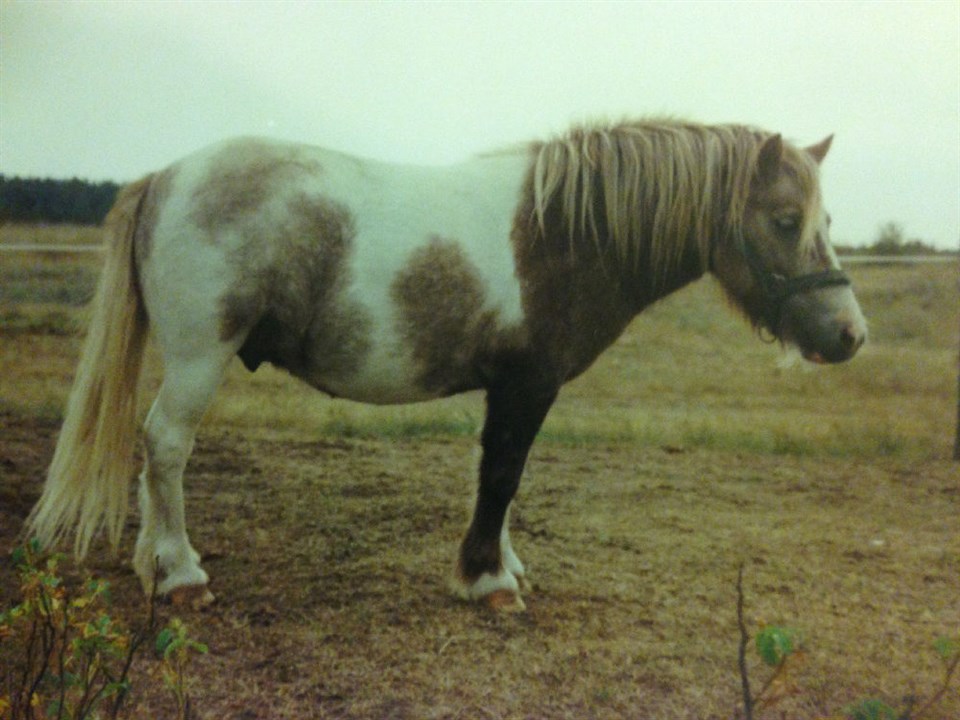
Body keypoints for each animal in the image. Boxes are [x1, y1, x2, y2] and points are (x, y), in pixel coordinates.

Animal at [26, 119, 866, 611]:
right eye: (784, 219)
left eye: (827, 218)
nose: (850, 335)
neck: (562, 231)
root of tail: (163, 178)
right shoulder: (526, 386)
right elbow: (502, 475)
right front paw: (488, 580)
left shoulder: (513, 389)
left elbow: (502, 479)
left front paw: (505, 565)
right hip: (203, 356)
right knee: (166, 446)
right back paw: (182, 575)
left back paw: (154, 564)